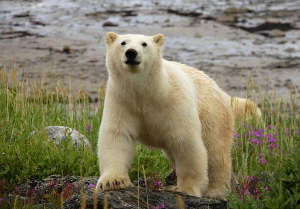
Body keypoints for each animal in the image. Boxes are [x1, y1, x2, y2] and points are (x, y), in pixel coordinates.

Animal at [96, 32, 260, 199]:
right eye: (123, 43)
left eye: (144, 44)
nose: (131, 52)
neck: (147, 91)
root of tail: (222, 92)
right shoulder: (122, 100)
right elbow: (117, 136)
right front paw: (113, 182)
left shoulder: (174, 101)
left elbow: (185, 141)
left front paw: (185, 189)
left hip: (213, 115)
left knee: (216, 152)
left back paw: (216, 191)